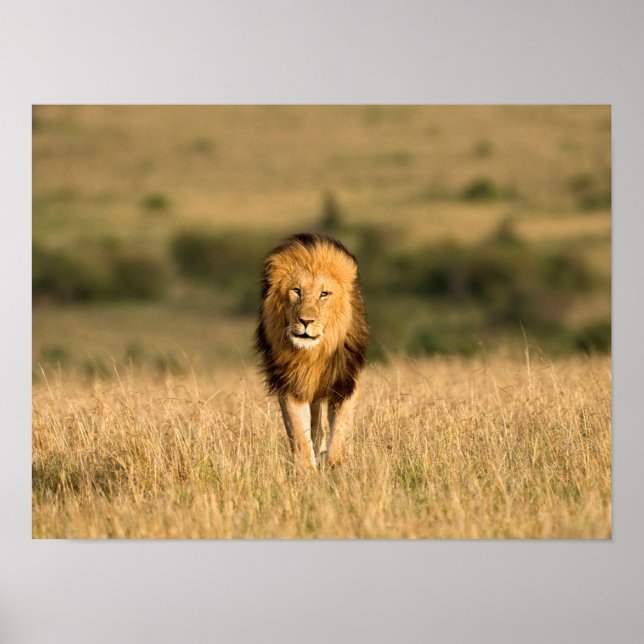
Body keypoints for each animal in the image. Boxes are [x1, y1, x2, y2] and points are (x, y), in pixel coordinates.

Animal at [255, 233, 369, 468]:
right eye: (296, 291)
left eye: (324, 294)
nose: (306, 321)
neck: (313, 354)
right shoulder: (291, 383)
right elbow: (299, 433)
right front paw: (307, 470)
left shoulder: (345, 381)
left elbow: (341, 433)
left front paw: (333, 462)